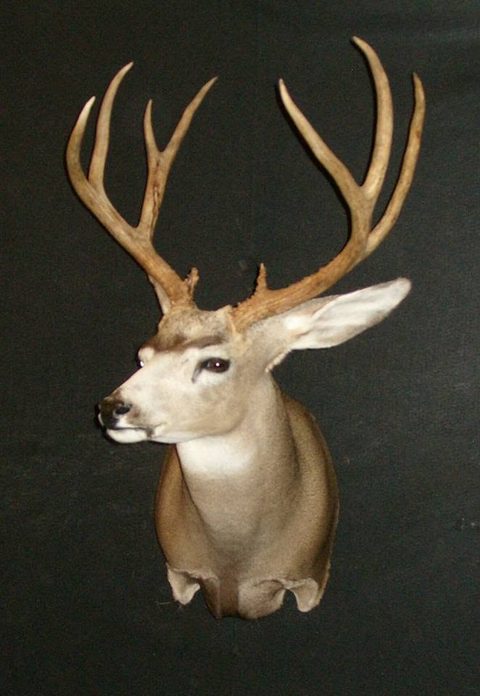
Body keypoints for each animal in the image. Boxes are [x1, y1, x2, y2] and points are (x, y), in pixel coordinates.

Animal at [66, 38, 425, 619]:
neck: (236, 560)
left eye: (215, 362)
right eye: (142, 353)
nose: (111, 406)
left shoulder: (310, 578)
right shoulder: (179, 572)